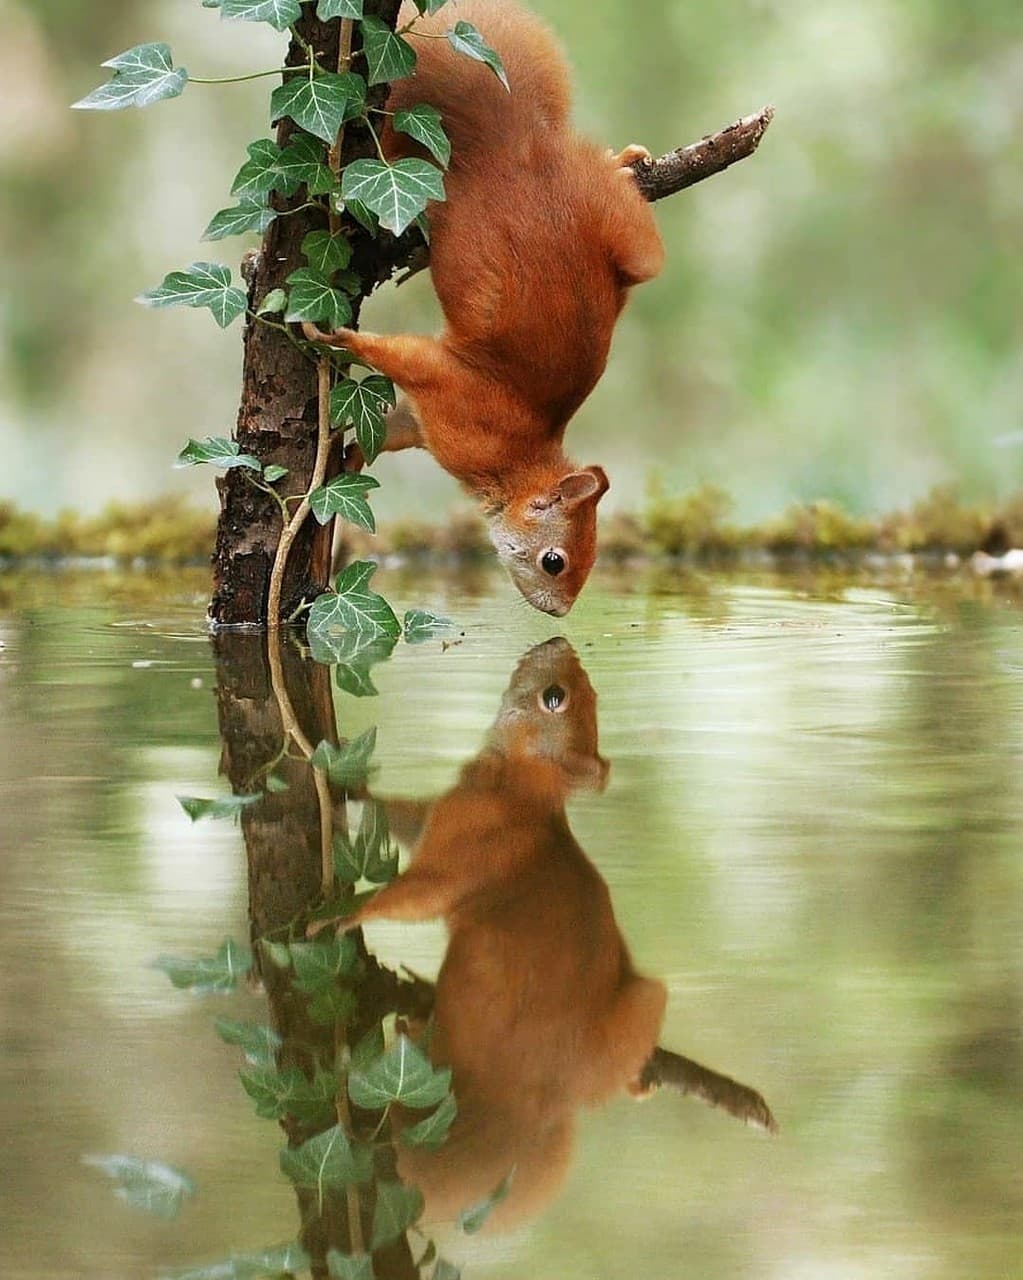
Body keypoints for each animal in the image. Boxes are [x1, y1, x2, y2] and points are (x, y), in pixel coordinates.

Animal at [308, 0, 665, 616]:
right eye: (555, 561)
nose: (560, 612)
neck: (519, 456)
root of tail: (515, 141)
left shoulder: (425, 419)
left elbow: (391, 430)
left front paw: (350, 460)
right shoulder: (452, 386)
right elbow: (397, 355)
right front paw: (331, 337)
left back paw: (623, 161)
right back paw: (621, 161)